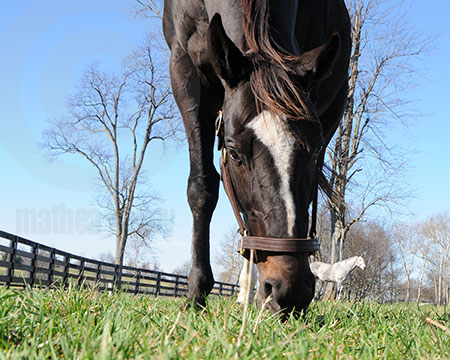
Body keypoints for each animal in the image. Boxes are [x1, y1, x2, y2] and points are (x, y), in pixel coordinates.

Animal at [163, 0, 352, 316]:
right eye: (234, 153)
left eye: (314, 151)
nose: (289, 290)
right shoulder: (184, 68)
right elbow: (202, 188)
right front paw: (196, 292)